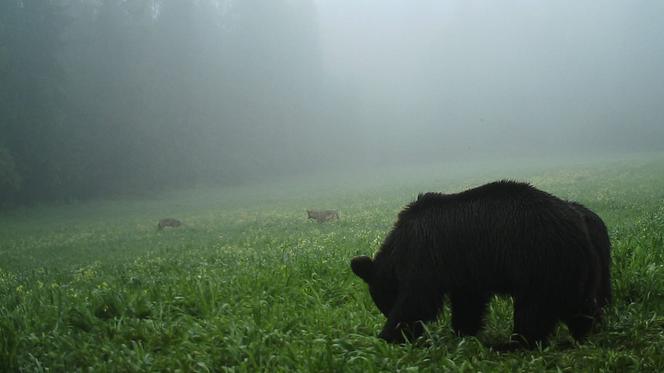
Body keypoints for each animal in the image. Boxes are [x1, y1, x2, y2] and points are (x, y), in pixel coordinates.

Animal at [352, 180, 608, 346]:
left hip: (539, 259)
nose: (386, 311)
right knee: (579, 304)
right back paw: (587, 332)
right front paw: (462, 333)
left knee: (535, 307)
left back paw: (517, 342)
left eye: (382, 300)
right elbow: (468, 302)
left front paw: (389, 335)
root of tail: (580, 218)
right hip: (571, 266)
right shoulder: (465, 271)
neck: (399, 248)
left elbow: (416, 299)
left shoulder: (427, 255)